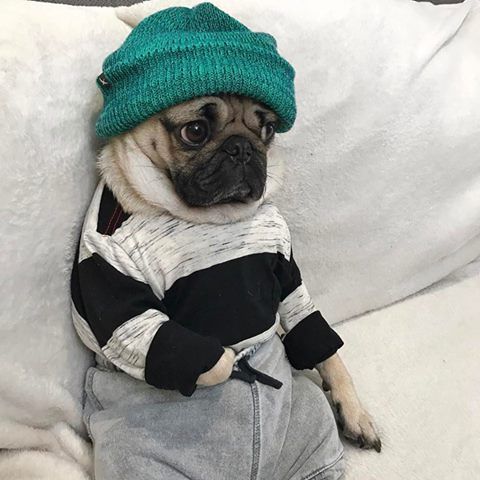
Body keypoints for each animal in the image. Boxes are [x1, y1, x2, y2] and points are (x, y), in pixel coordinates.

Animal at [95, 93, 382, 450]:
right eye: (195, 131)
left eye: (268, 130)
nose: (243, 147)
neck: (215, 218)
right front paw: (230, 360)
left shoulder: (288, 277)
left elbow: (322, 343)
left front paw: (353, 408)